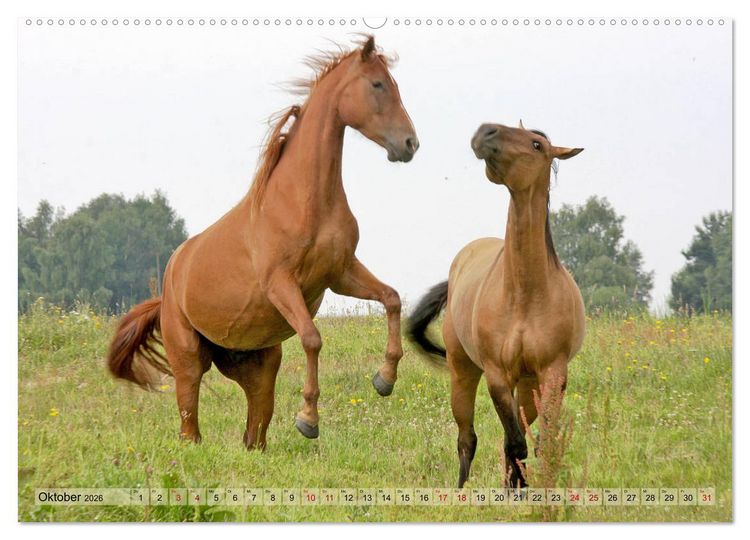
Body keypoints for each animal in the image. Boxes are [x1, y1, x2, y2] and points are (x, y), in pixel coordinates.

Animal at [106, 35, 419, 450]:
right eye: (378, 84)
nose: (410, 144)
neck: (303, 201)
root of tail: (170, 282)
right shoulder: (281, 283)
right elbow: (312, 338)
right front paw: (308, 418)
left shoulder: (341, 273)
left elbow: (392, 298)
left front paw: (385, 379)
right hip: (188, 358)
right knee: (190, 420)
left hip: (256, 364)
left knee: (254, 428)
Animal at [407, 122, 584, 488]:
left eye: (536, 144)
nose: (485, 131)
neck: (525, 296)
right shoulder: (497, 374)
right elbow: (515, 444)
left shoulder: (552, 375)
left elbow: (541, 442)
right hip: (463, 371)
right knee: (467, 438)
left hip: (527, 384)